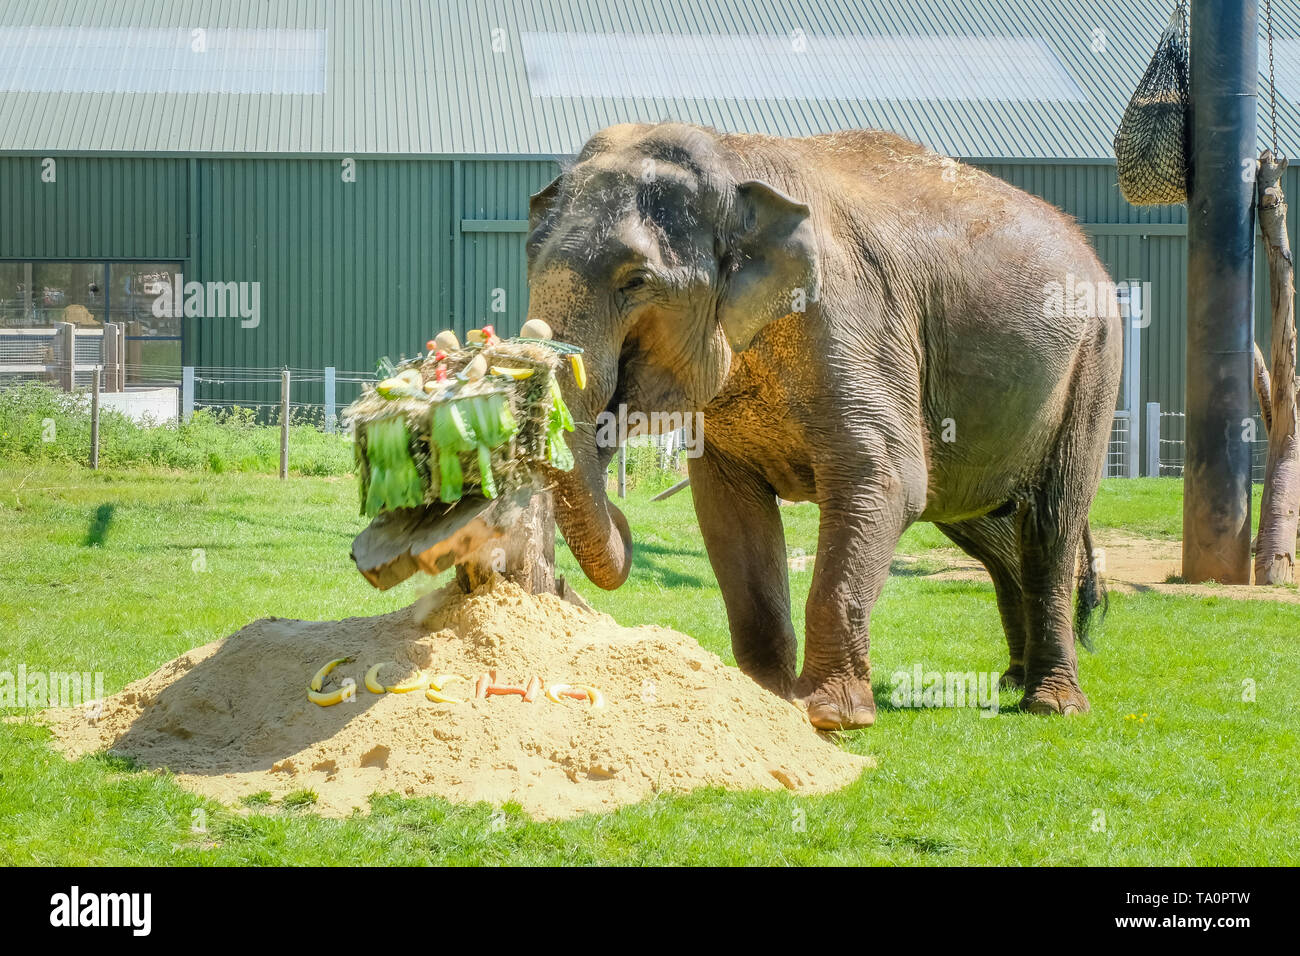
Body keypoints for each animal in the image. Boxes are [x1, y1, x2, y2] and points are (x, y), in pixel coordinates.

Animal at [522, 123, 1123, 728]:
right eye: (529, 258)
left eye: (636, 281)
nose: (622, 516)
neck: (734, 155)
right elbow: (728, 509)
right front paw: (764, 699)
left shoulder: (858, 327)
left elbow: (885, 481)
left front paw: (830, 717)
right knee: (987, 525)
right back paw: (1014, 681)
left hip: (1093, 367)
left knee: (1051, 522)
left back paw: (1053, 705)